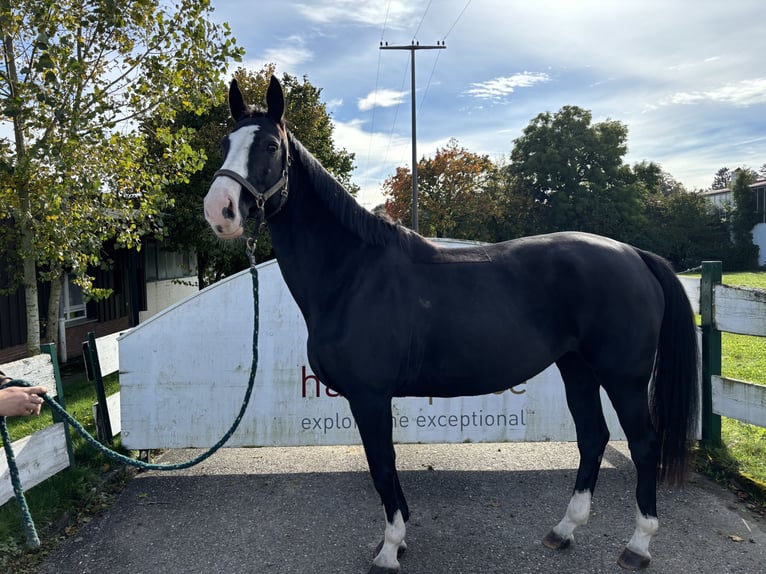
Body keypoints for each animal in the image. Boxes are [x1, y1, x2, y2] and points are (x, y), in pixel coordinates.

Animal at [206, 77, 704, 574]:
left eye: (270, 146)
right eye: (225, 144)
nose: (219, 210)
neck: (353, 273)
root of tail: (633, 254)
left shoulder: (369, 396)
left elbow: (381, 465)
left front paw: (389, 549)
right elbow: (387, 468)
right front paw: (399, 536)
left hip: (624, 377)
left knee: (642, 443)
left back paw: (638, 544)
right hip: (576, 367)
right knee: (593, 436)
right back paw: (564, 530)